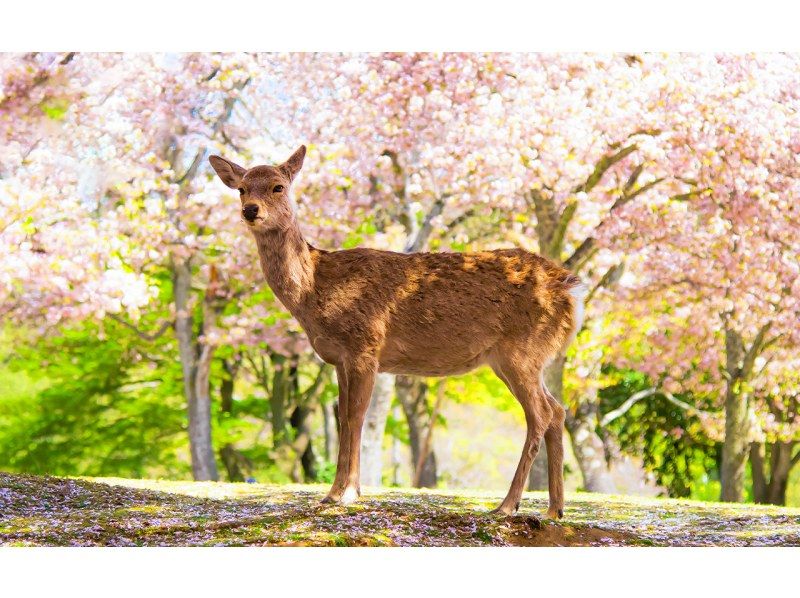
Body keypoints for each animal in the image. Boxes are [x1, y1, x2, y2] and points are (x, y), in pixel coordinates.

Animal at [209, 146, 588, 520]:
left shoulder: (365, 345)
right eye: (242, 188)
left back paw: (508, 504)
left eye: (278, 186)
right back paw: (555, 509)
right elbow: (344, 419)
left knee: (540, 414)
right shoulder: (339, 359)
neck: (316, 289)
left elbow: (355, 417)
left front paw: (345, 493)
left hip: (521, 350)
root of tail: (571, 290)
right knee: (557, 410)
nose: (250, 210)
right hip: (521, 358)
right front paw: (338, 493)